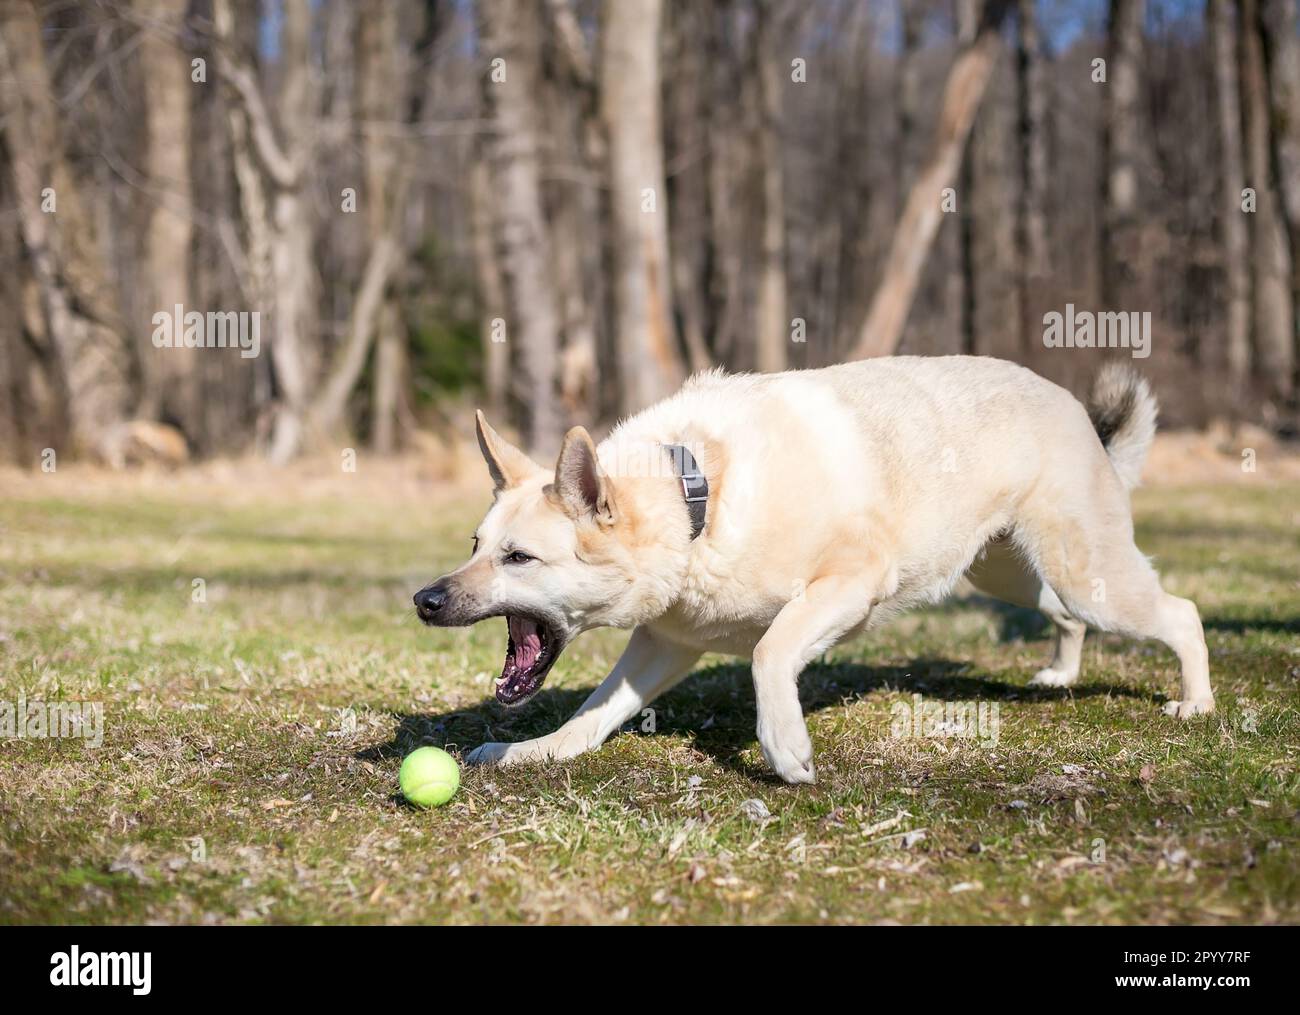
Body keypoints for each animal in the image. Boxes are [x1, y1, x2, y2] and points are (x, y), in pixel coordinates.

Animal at [413, 356, 1206, 784]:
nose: (425, 599)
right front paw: (527, 752)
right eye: (477, 544)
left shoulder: (851, 584)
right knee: (1065, 614)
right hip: (1008, 572)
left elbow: (769, 651)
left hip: (1088, 573)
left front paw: (785, 745)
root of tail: (1074, 408)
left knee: (1182, 613)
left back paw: (1195, 702)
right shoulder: (661, 646)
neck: (699, 501)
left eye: (519, 557)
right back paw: (1062, 674)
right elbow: (590, 717)